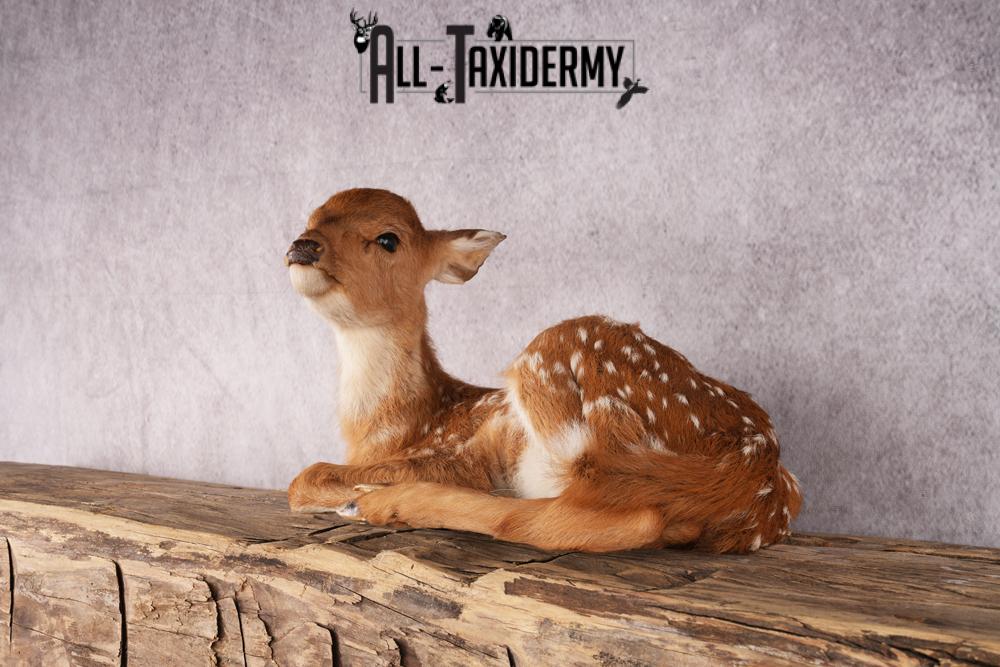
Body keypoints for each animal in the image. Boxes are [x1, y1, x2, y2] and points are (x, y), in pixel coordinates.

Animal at [286, 188, 802, 553]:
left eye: (388, 239)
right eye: (312, 218)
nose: (302, 246)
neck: (391, 429)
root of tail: (752, 469)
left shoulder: (459, 452)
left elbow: (305, 476)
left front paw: (354, 492)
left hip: (560, 369)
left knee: (605, 518)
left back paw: (374, 501)